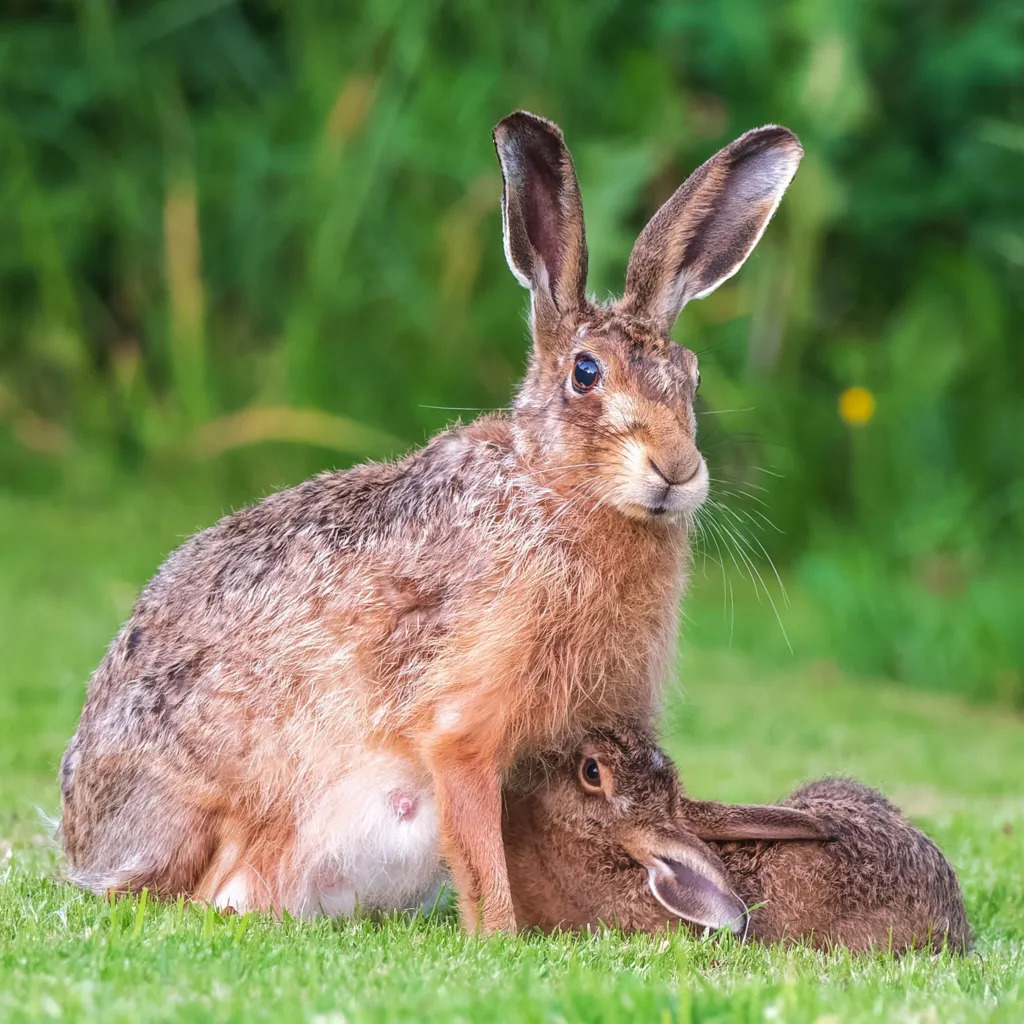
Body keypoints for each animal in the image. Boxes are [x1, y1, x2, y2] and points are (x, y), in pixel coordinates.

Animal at [57, 111, 802, 933]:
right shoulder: (463, 726)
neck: (554, 485)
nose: (677, 469)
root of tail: (86, 844)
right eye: (586, 373)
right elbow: (479, 839)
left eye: (693, 378)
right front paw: (502, 935)